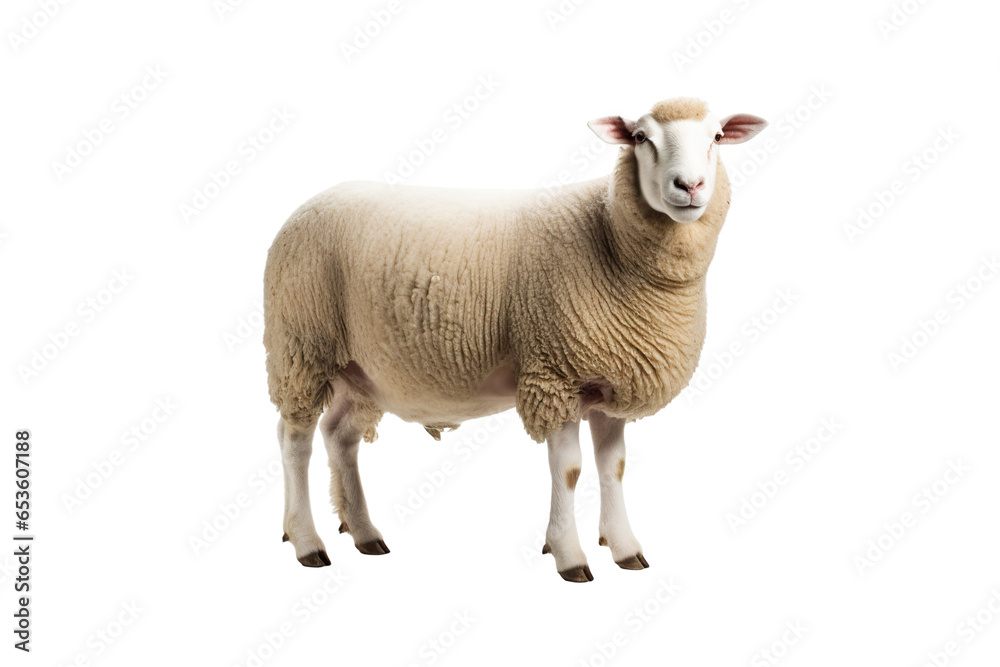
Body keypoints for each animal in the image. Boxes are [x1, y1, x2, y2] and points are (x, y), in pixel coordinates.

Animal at [264, 97, 767, 581]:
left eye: (716, 137)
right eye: (641, 137)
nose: (690, 186)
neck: (606, 234)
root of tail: (308, 203)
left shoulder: (608, 381)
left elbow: (614, 468)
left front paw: (625, 549)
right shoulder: (553, 373)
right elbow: (570, 470)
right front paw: (569, 556)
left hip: (362, 370)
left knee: (339, 435)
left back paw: (364, 532)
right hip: (301, 346)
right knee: (295, 439)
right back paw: (307, 542)